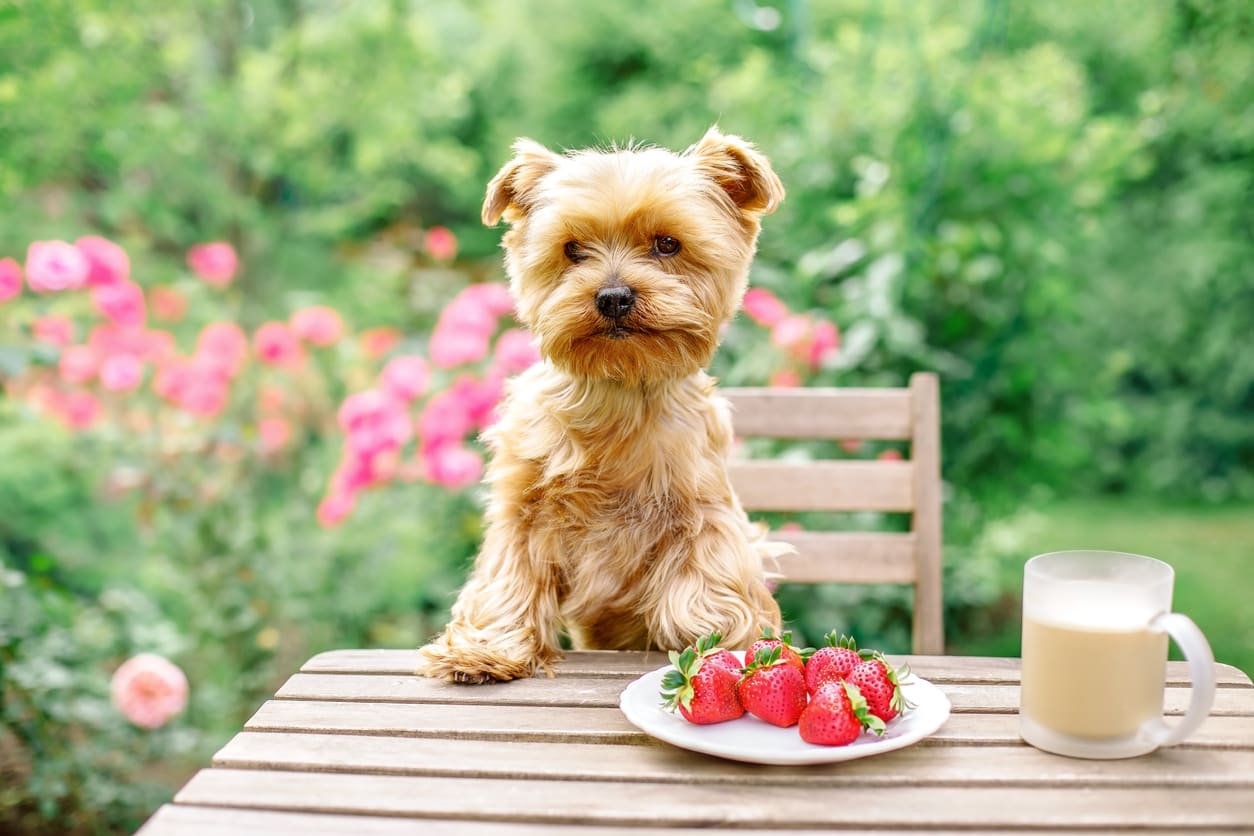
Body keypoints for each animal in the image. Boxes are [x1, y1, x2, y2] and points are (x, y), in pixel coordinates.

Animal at [421, 127, 792, 681]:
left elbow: (710, 573)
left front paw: (722, 640)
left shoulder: (702, 507)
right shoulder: (522, 510)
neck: (619, 386)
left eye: (667, 244)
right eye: (573, 249)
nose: (613, 295)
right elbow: (507, 577)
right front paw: (485, 648)